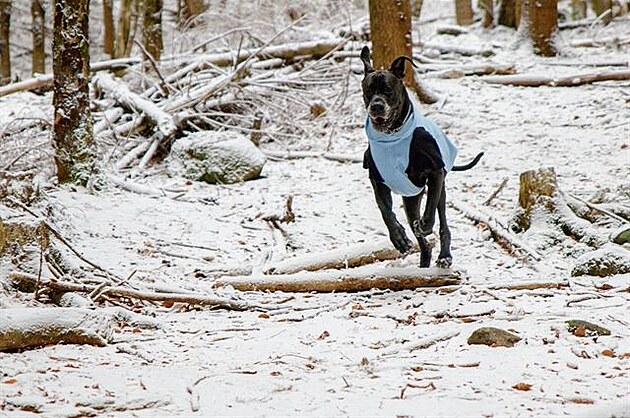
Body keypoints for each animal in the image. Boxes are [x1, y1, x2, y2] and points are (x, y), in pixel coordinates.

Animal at [360, 45, 484, 268]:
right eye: (368, 91)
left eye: (388, 90)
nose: (376, 106)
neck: (392, 135)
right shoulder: (377, 178)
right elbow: (385, 211)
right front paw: (398, 238)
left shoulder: (435, 172)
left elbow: (430, 208)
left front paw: (425, 225)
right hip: (410, 200)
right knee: (422, 240)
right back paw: (423, 261)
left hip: (440, 189)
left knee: (443, 222)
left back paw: (444, 255)